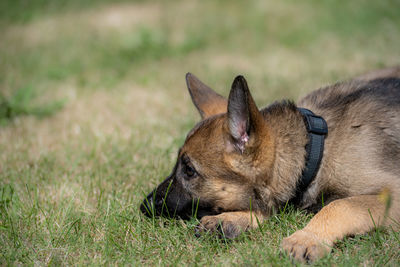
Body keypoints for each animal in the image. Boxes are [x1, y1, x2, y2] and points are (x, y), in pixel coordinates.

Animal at [140, 66, 400, 262]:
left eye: (189, 170)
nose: (144, 206)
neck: (314, 151)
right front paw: (232, 219)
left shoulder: (393, 194)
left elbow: (341, 205)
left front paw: (307, 237)